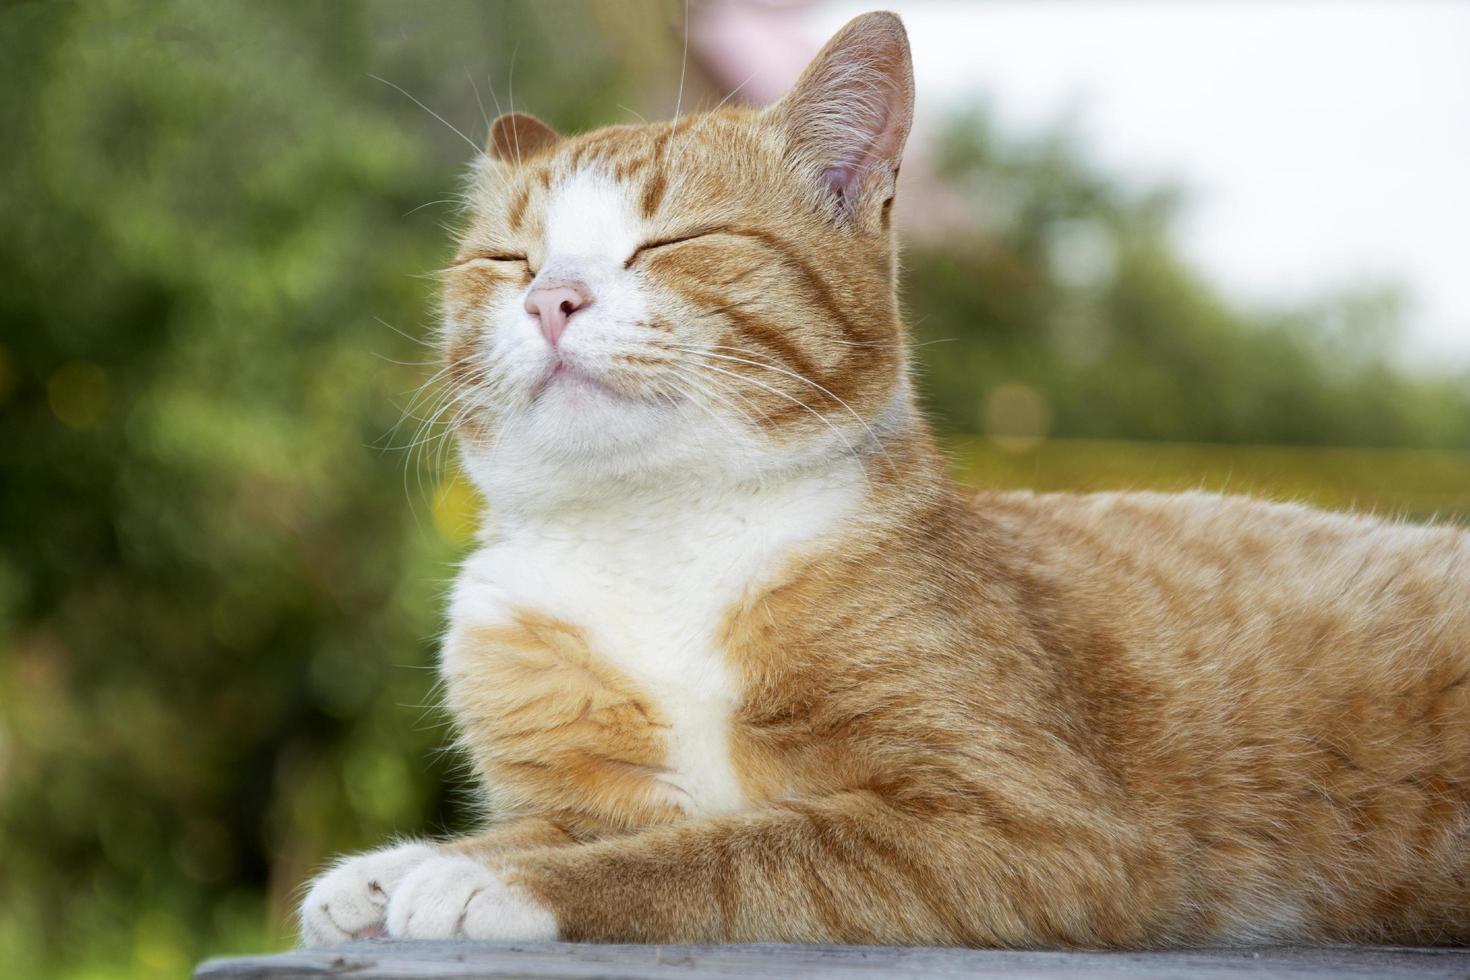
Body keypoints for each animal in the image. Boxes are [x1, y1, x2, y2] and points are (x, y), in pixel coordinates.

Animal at [298, 13, 1470, 952]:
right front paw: (393, 868)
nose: (554, 298)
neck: (654, 531)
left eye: (675, 241)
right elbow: (559, 823)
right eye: (507, 262)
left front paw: (490, 880)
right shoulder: (593, 780)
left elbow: (727, 851)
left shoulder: (1030, 828)